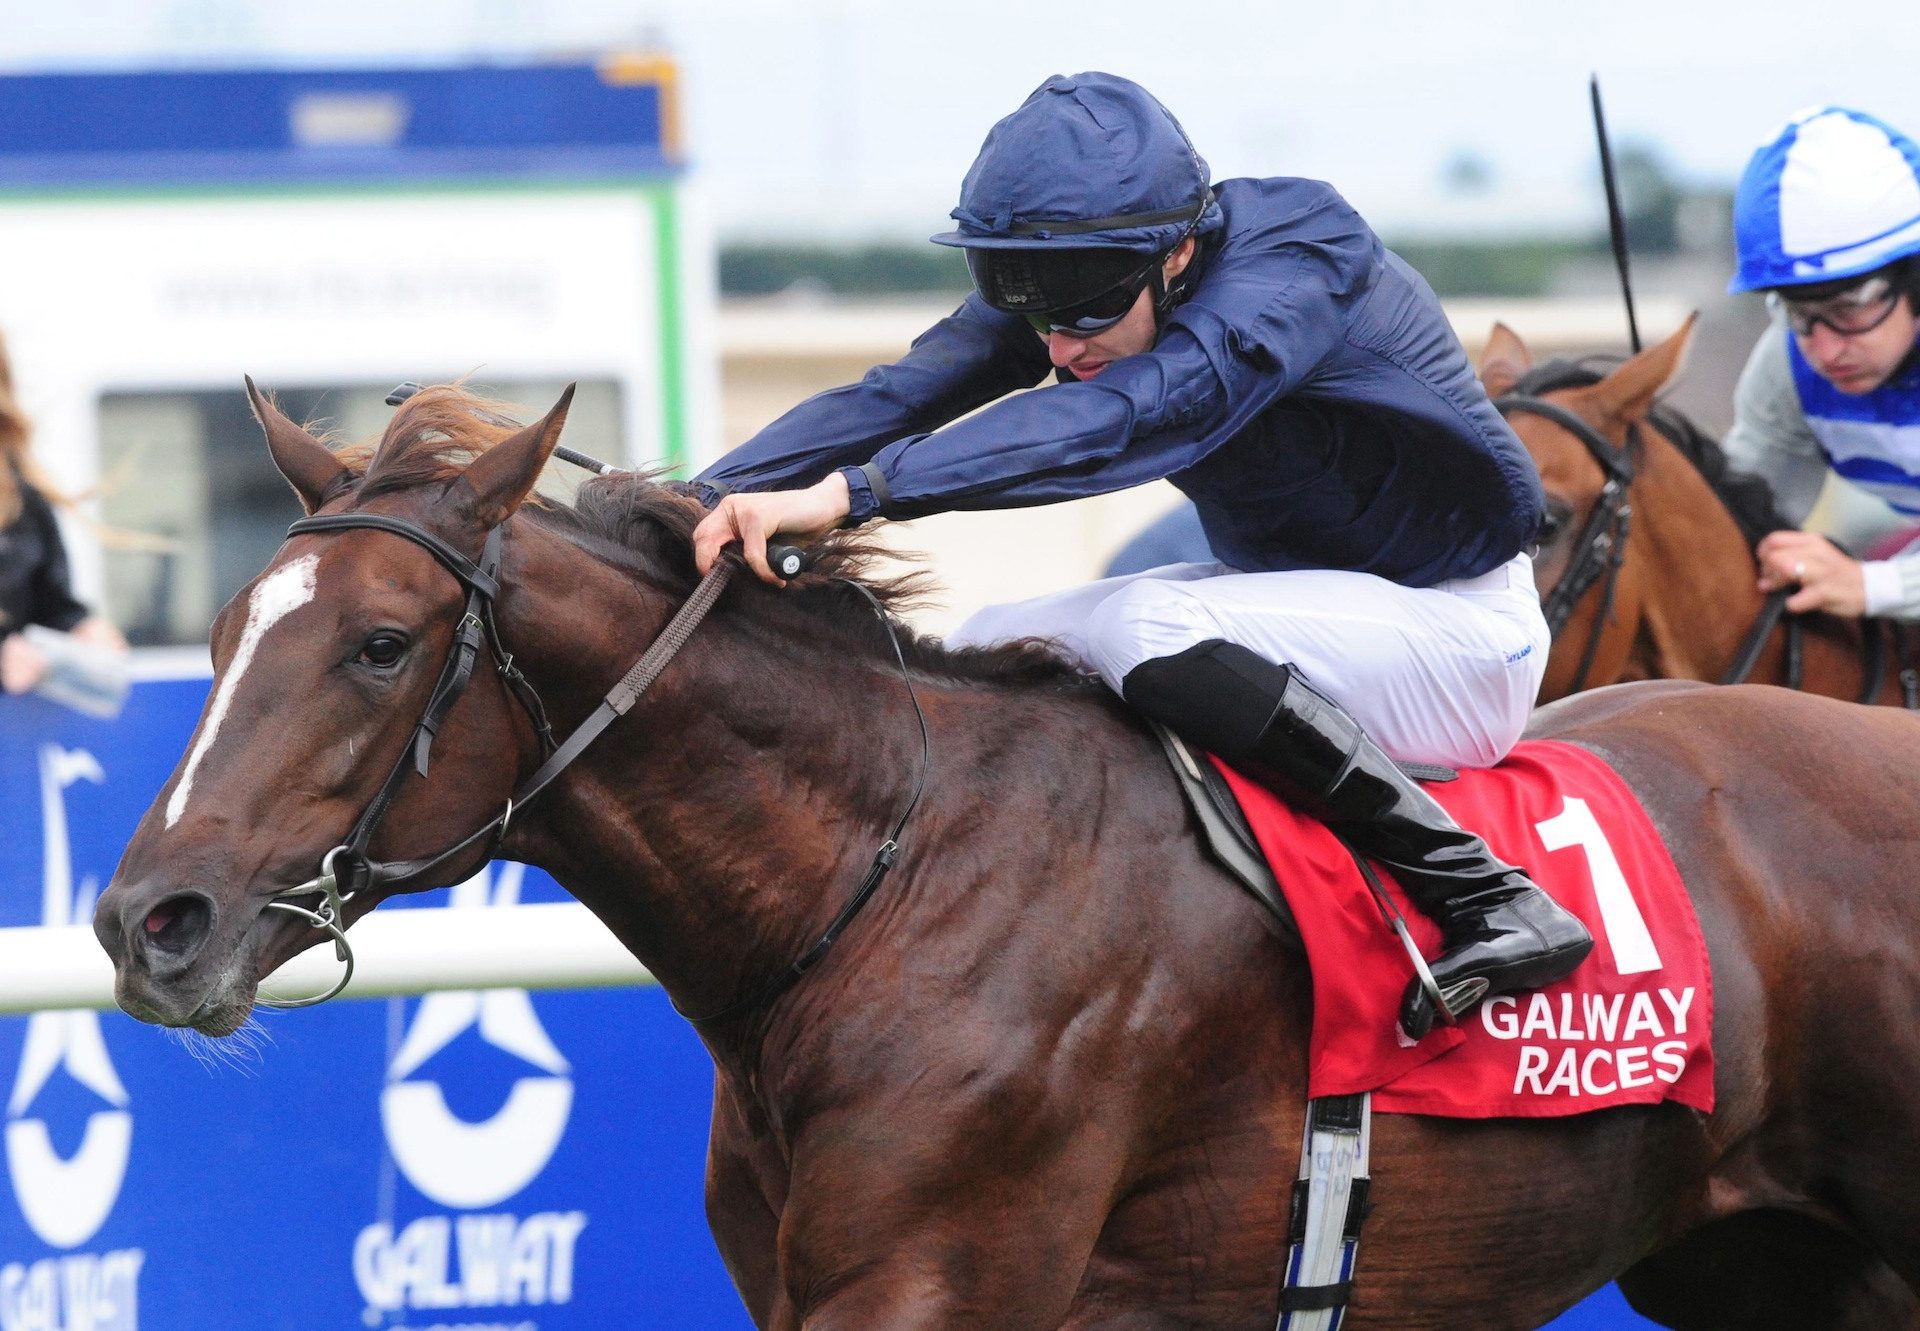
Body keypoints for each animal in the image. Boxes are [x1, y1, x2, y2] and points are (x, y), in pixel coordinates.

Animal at [93, 386, 1920, 1329]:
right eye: (226, 631)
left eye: (381, 645)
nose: (145, 920)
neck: (888, 885)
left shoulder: (940, 1280)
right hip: (1762, 1261)